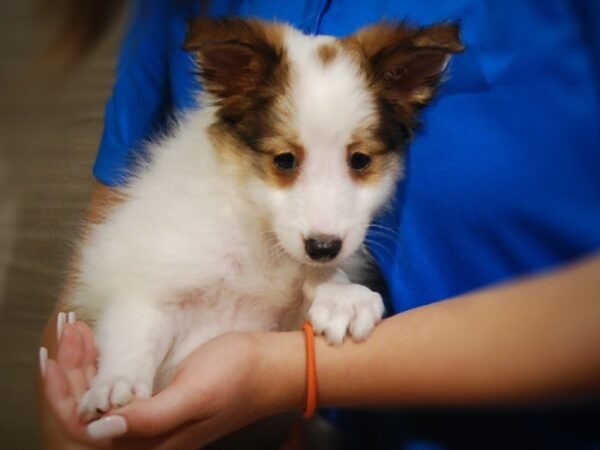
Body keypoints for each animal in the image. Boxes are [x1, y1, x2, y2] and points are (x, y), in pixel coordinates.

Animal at [71, 17, 464, 418]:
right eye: (285, 160)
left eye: (360, 160)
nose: (324, 247)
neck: (256, 235)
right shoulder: (149, 289)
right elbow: (135, 334)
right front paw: (114, 387)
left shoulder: (280, 323)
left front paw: (342, 297)